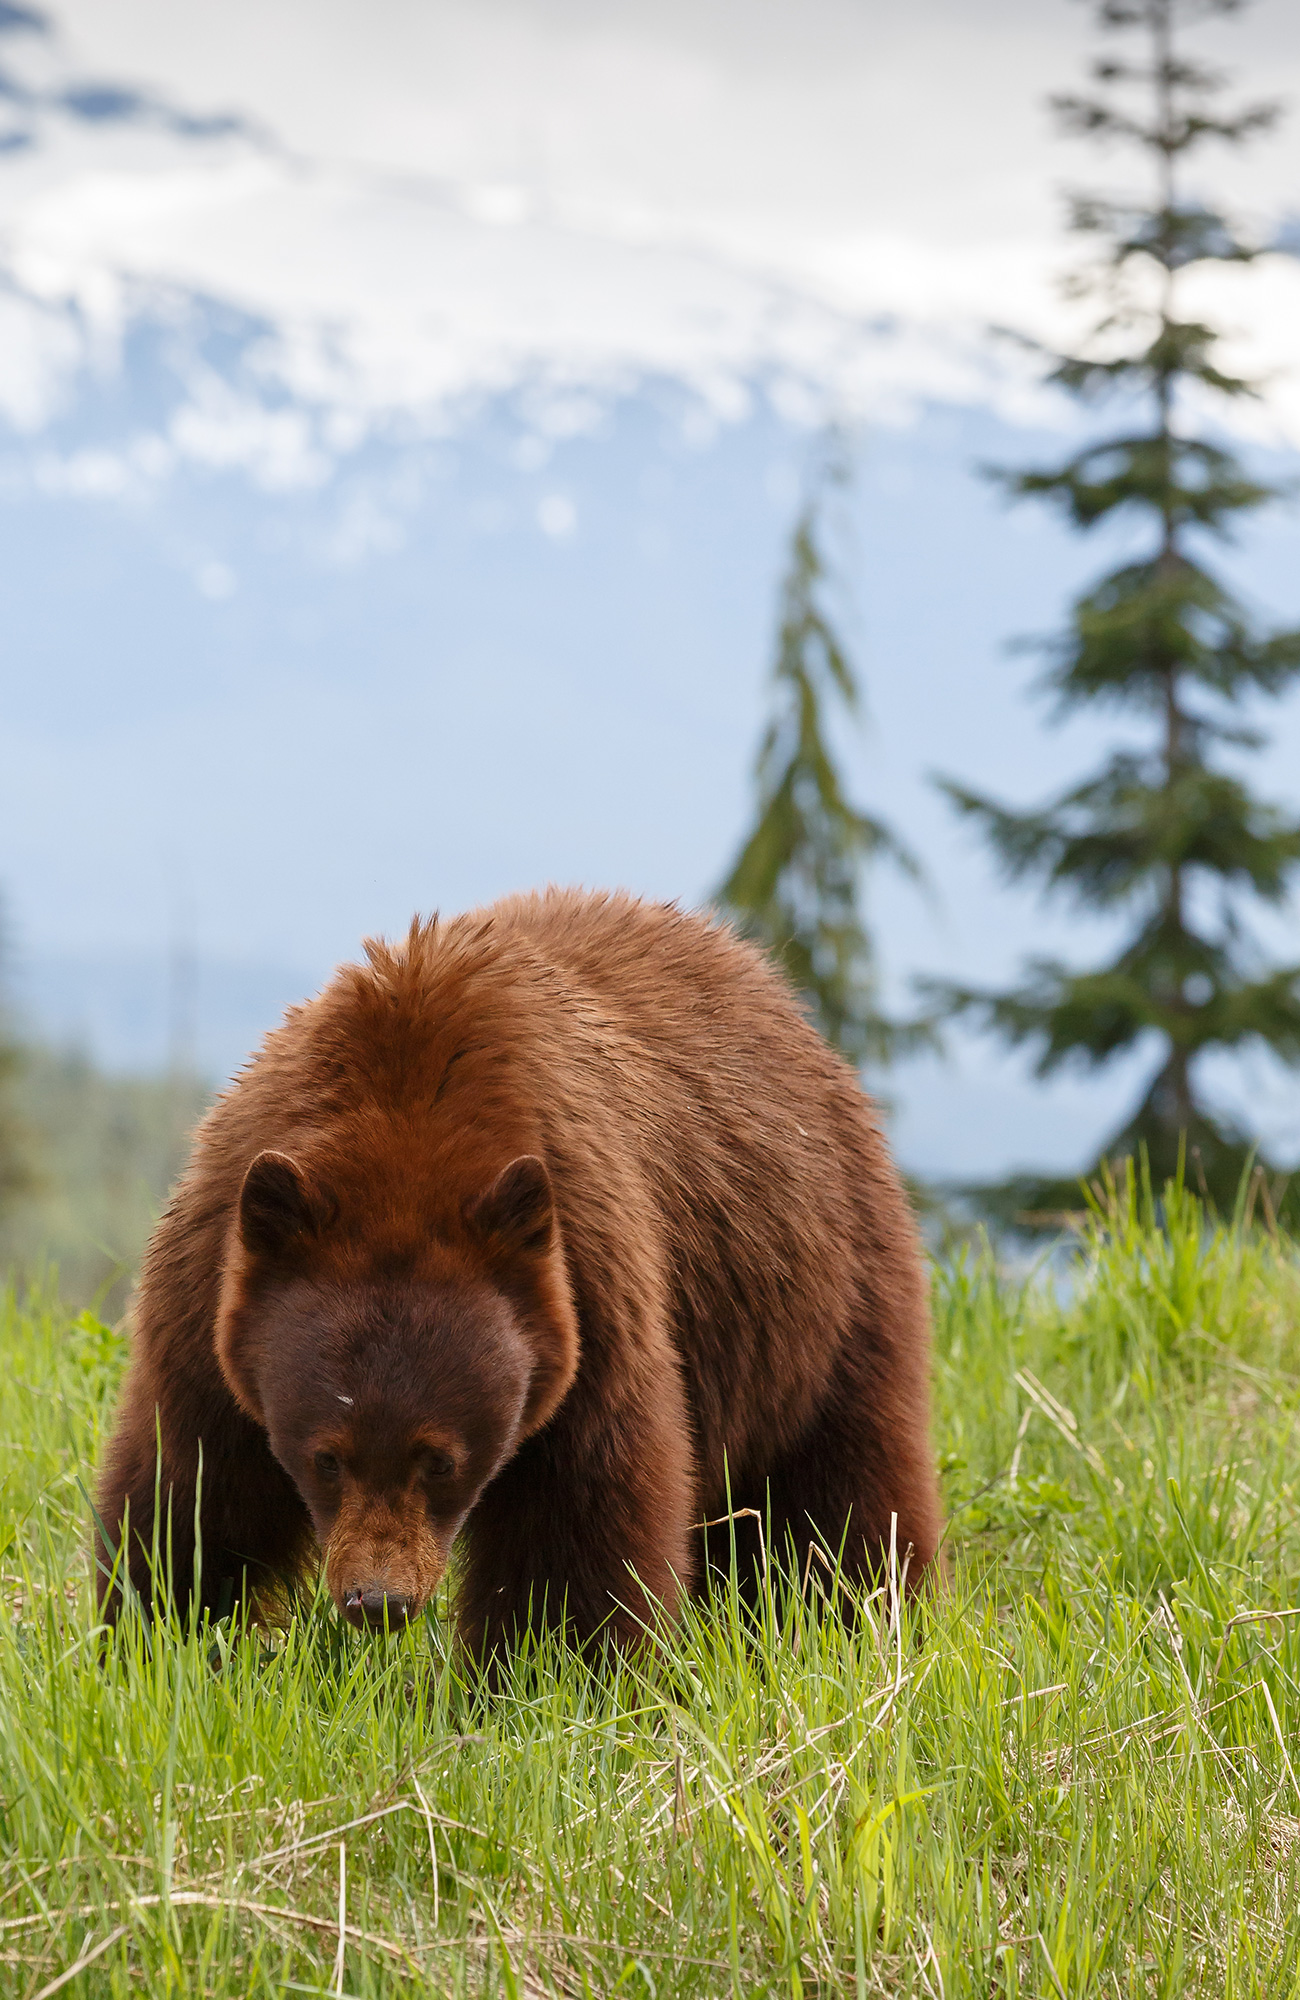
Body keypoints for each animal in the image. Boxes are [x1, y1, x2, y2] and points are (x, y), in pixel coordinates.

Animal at [95, 889, 940, 1658]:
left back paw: (862, 1615)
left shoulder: (589, 1288)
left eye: (439, 1459)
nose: (379, 1601)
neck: (402, 1137)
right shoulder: (214, 1284)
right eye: (325, 1456)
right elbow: (193, 1483)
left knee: (841, 1491)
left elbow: (579, 1520)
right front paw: (151, 1630)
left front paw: (548, 1671)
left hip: (822, 1293)